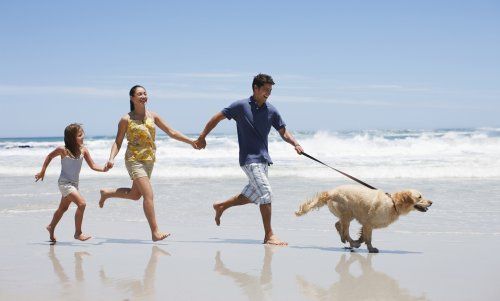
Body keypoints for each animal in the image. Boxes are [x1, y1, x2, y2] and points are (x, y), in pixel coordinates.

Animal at [294, 184, 432, 252]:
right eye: (420, 197)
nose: (431, 202)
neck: (393, 203)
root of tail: (330, 192)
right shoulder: (368, 223)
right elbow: (368, 238)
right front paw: (371, 248)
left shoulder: (366, 224)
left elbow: (364, 236)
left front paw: (361, 241)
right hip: (348, 213)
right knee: (344, 229)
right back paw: (351, 242)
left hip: (348, 214)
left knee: (338, 225)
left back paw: (347, 241)